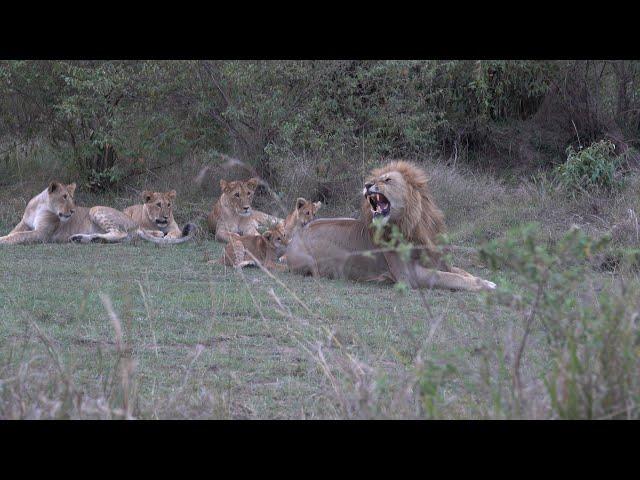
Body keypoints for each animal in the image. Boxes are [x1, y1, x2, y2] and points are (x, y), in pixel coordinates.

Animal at [0, 182, 192, 246]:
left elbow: (18, 236)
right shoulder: (24, 224)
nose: (72, 211)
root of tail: (135, 224)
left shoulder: (42, 233)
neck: (39, 205)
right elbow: (13, 232)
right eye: (64, 197)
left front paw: (3, 241)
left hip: (96, 209)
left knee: (120, 233)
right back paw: (82, 238)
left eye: (72, 198)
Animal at [284, 160, 496, 292]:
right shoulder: (411, 276)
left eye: (387, 180)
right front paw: (485, 286)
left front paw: (488, 281)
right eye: (375, 179)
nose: (367, 184)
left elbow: (461, 272)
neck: (412, 225)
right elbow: (453, 278)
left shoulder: (438, 260)